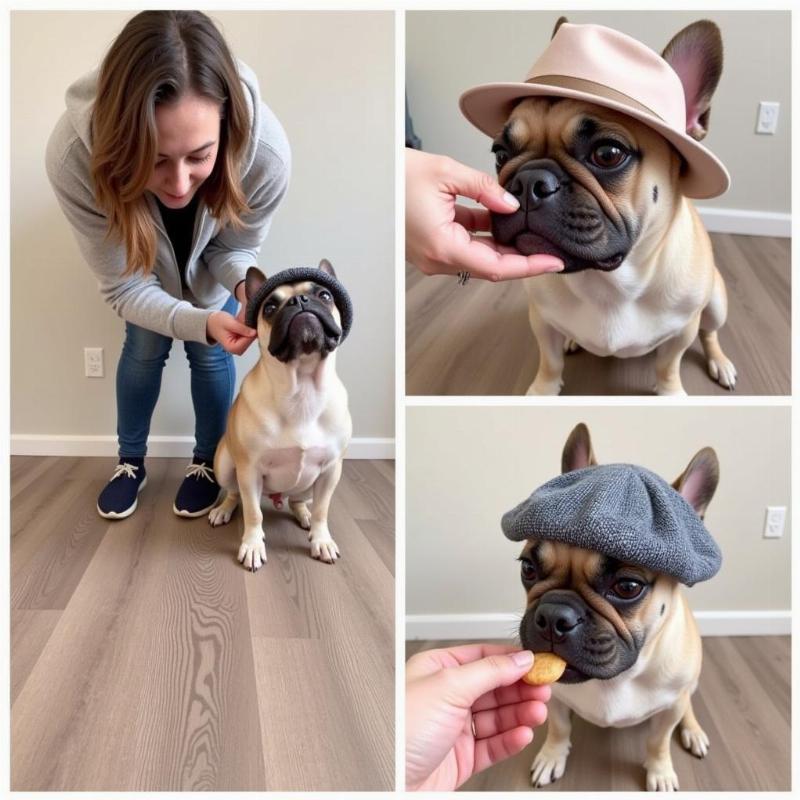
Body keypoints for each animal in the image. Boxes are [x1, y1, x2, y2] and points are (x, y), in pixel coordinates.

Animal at [209, 260, 354, 568]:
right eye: (270, 308)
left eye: (325, 295)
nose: (299, 301)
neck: (302, 386)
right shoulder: (249, 470)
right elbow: (253, 513)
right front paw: (252, 544)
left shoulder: (331, 471)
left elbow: (323, 509)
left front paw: (321, 539)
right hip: (225, 464)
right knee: (234, 493)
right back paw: (223, 510)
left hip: (310, 483)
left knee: (298, 501)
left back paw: (305, 516)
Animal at [506, 422, 724, 792]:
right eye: (528, 569)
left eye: (627, 587)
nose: (553, 615)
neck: (619, 678)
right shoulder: (556, 698)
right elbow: (559, 727)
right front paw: (552, 756)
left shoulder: (669, 708)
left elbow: (658, 741)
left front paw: (660, 772)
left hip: (687, 688)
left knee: (688, 706)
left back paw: (693, 731)